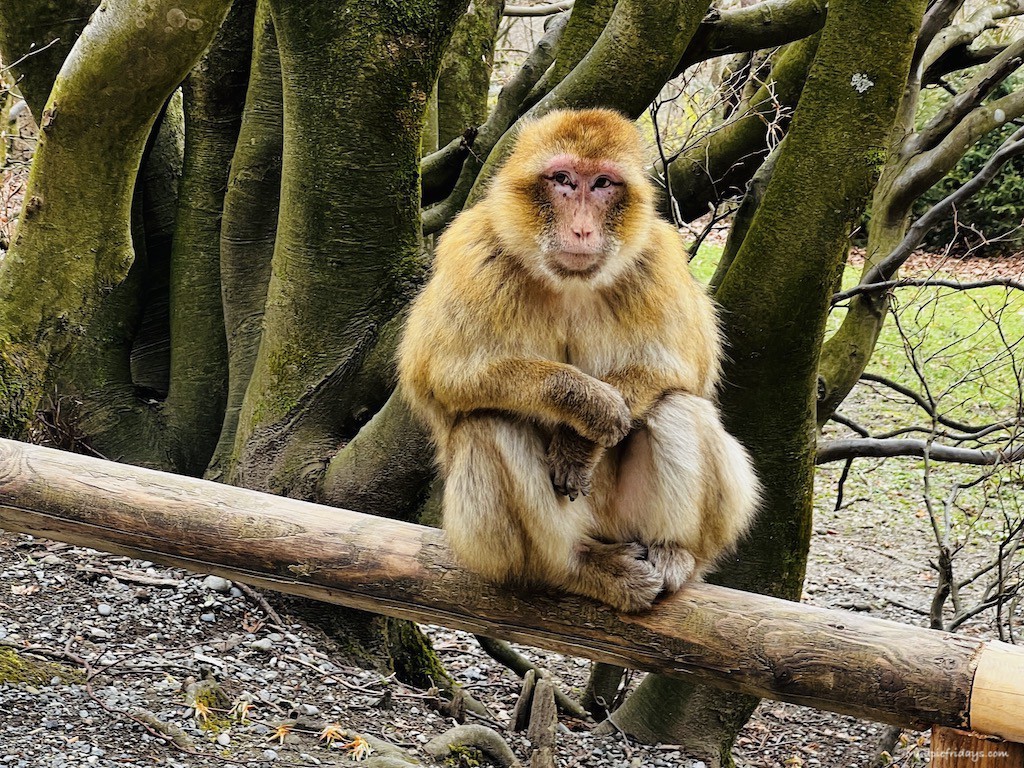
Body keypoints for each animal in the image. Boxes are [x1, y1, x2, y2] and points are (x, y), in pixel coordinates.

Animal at [398, 108, 759, 612]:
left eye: (603, 183)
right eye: (563, 180)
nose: (583, 229)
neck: (569, 282)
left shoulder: (658, 259)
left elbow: (683, 366)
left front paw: (579, 442)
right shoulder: (474, 253)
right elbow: (442, 374)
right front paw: (587, 405)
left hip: (626, 518)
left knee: (677, 405)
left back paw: (673, 552)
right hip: (496, 543)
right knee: (490, 422)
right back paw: (576, 567)